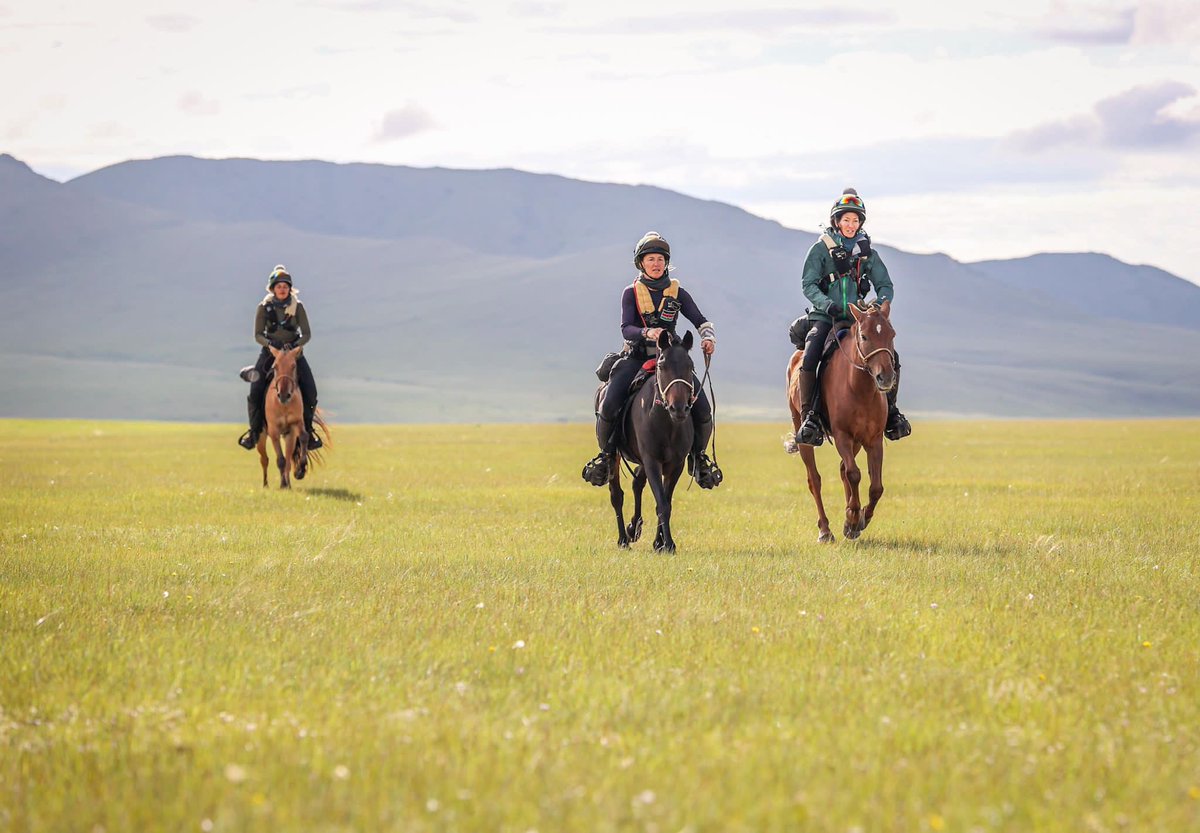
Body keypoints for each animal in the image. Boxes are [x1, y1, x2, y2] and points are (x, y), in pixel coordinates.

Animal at [254, 345, 326, 489]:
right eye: (275, 366)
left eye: (293, 366)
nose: (283, 394)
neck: (284, 405)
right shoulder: (274, 432)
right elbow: (280, 460)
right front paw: (283, 484)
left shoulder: (296, 424)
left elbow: (303, 437)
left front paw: (300, 471)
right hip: (261, 437)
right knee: (264, 459)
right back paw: (266, 485)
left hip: (289, 436)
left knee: (288, 458)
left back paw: (288, 483)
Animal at [604, 331, 700, 554]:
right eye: (661, 365)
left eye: (690, 365)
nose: (678, 408)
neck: (667, 422)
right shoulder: (652, 461)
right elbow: (661, 502)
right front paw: (669, 544)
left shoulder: (675, 464)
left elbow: (665, 501)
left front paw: (660, 543)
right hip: (615, 456)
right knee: (616, 495)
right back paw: (623, 539)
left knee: (637, 482)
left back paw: (634, 528)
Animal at [782, 303, 897, 544]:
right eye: (864, 336)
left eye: (892, 335)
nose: (886, 378)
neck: (860, 388)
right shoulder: (843, 435)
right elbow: (854, 474)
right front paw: (852, 518)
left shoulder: (873, 440)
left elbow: (876, 487)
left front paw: (860, 519)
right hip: (802, 432)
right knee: (815, 480)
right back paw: (825, 531)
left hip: (857, 442)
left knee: (843, 469)